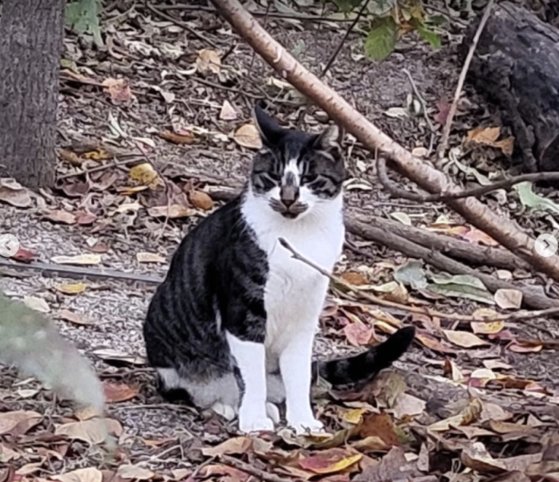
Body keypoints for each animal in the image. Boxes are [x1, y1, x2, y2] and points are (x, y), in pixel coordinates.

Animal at [144, 104, 416, 434]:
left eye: (309, 177)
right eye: (273, 175)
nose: (288, 198)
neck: (300, 237)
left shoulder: (304, 316)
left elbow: (297, 376)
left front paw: (303, 422)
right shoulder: (243, 313)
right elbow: (251, 376)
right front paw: (253, 419)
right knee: (199, 385)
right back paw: (229, 405)